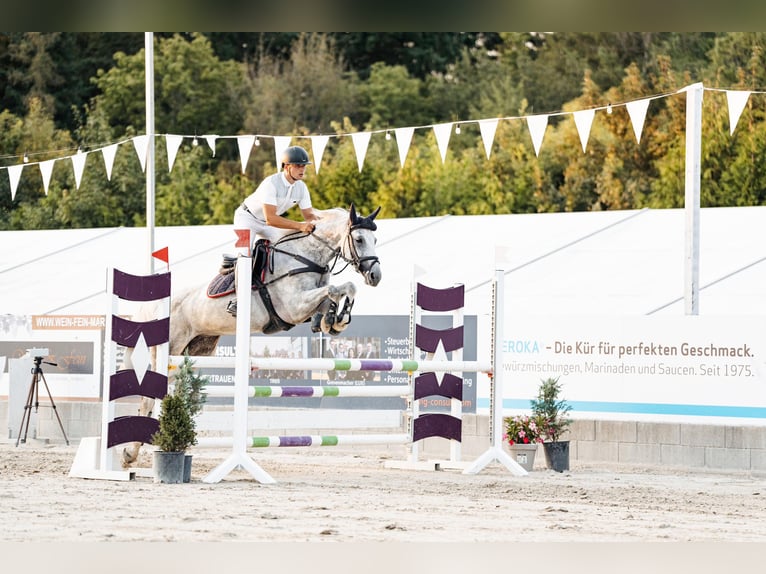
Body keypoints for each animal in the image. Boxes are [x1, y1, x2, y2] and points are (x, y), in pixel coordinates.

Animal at [121, 204, 382, 468]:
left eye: (375, 240)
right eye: (359, 240)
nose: (375, 276)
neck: (306, 256)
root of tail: (152, 306)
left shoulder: (306, 306)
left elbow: (340, 291)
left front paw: (334, 320)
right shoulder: (294, 307)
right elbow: (336, 288)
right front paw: (336, 317)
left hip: (195, 350)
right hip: (169, 349)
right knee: (149, 398)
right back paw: (132, 453)